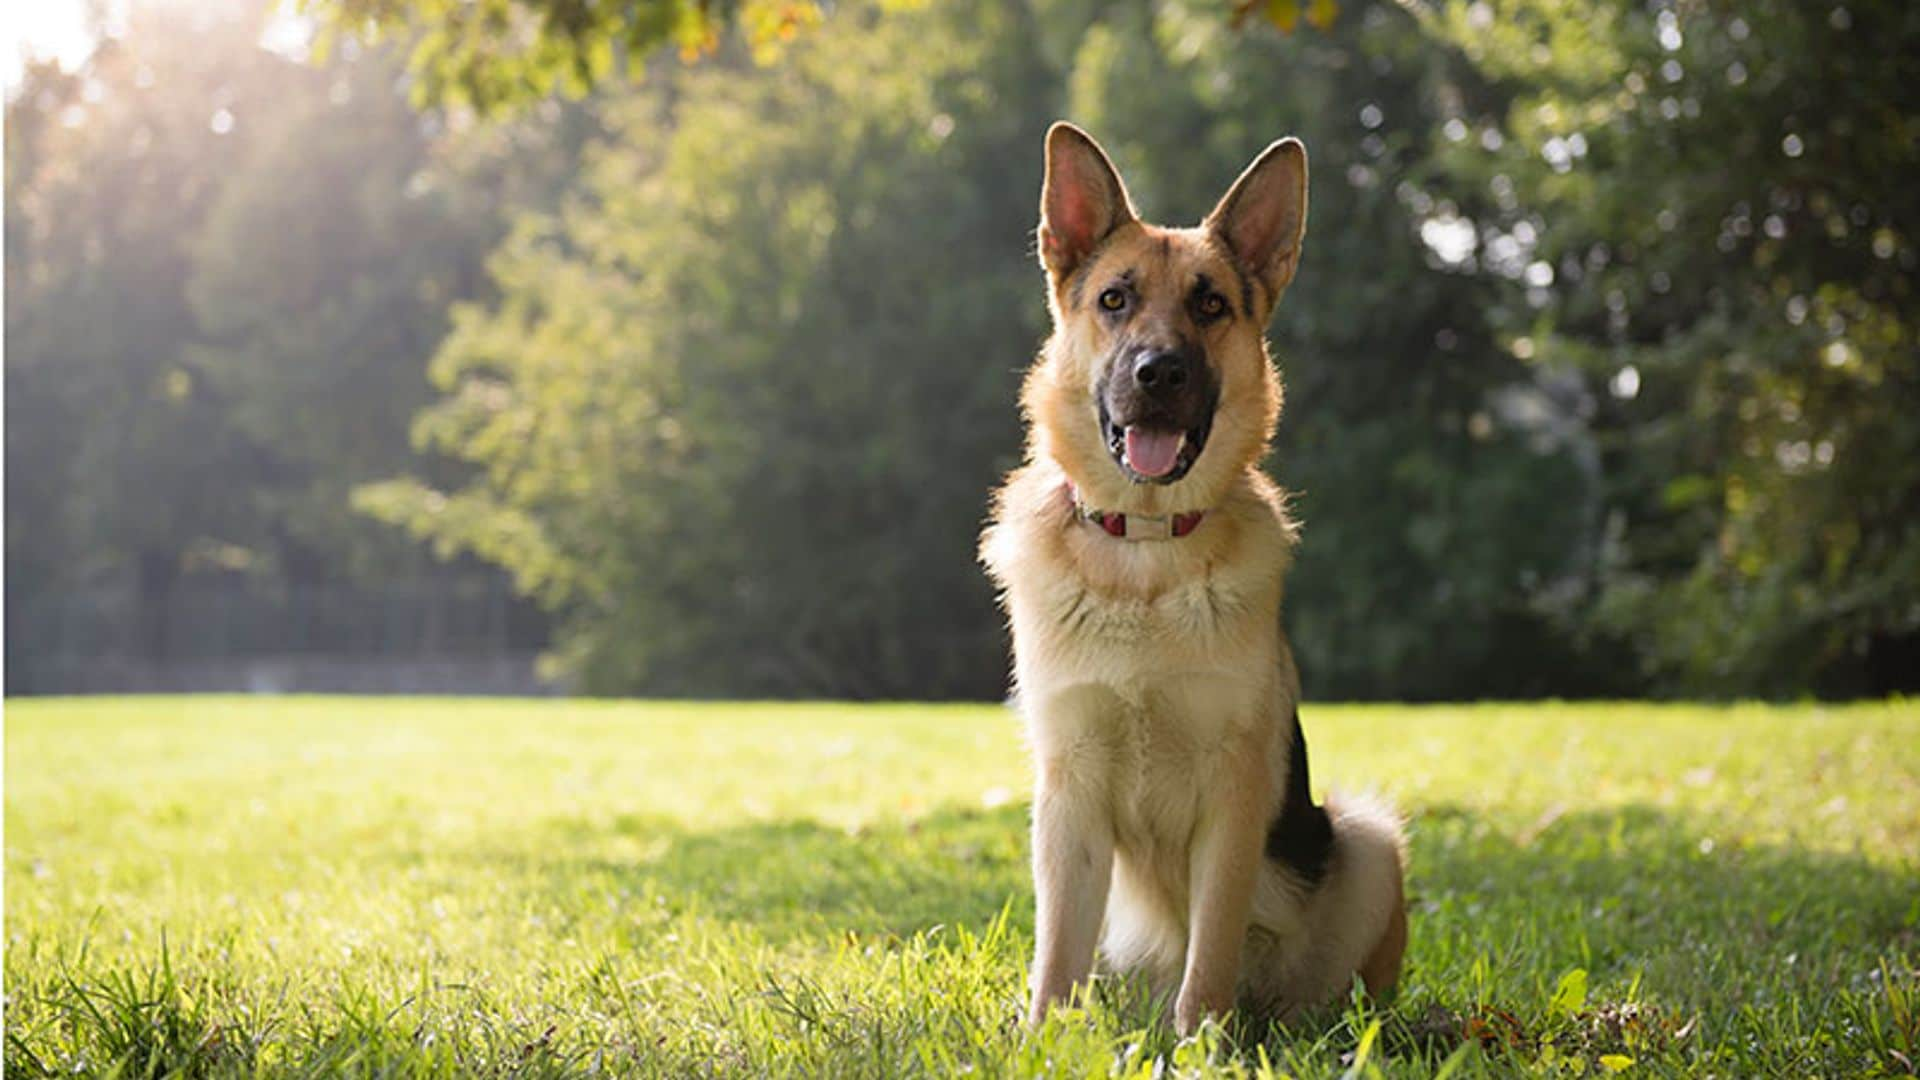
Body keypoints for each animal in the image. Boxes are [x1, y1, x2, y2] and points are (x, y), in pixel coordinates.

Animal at [975, 122, 1413, 1030]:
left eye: (1210, 305)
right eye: (1115, 300)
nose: (1160, 373)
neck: (1144, 552)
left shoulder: (1234, 797)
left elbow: (1210, 947)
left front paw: (1203, 1041)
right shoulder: (1067, 796)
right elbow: (1055, 954)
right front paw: (1042, 1039)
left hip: (1367, 840)